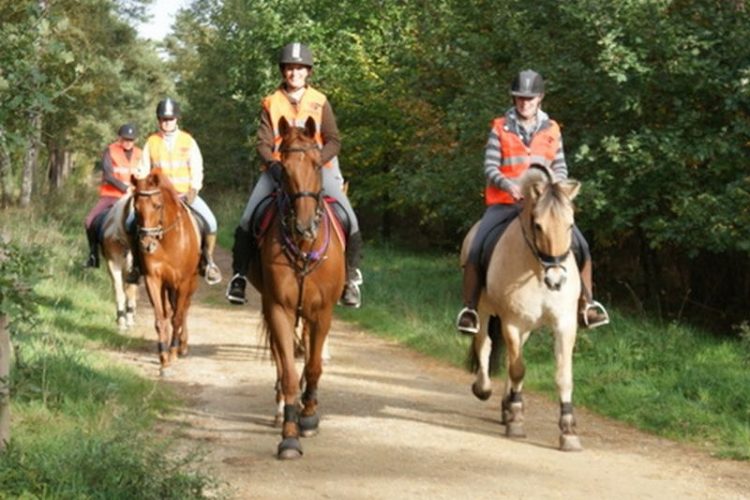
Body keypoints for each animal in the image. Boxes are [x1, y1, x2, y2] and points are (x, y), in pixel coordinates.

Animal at [132, 168, 201, 376]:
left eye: (157, 205)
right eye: (136, 208)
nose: (147, 245)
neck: (168, 240)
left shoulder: (183, 282)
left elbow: (177, 317)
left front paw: (172, 352)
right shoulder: (153, 280)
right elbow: (160, 319)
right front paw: (163, 358)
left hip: (190, 283)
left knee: (184, 309)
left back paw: (182, 346)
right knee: (171, 309)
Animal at [250, 115, 350, 458]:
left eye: (317, 164)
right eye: (285, 167)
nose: (304, 225)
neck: (306, 246)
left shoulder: (322, 313)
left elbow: (314, 366)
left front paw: (309, 417)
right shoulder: (279, 307)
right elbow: (290, 374)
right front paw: (290, 434)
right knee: (283, 362)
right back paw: (281, 406)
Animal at [464, 166, 588, 452]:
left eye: (570, 224)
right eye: (538, 225)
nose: (557, 280)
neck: (536, 270)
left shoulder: (564, 324)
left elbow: (563, 375)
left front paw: (568, 431)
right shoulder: (512, 322)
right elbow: (518, 368)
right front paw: (517, 421)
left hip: (527, 328)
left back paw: (506, 405)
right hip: (485, 310)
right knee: (484, 343)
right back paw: (485, 390)